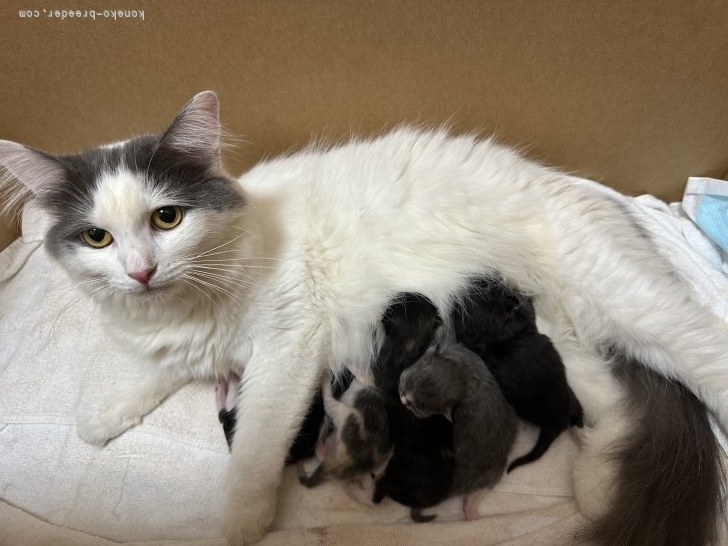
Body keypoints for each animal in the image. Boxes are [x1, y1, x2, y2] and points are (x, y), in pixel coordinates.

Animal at [398, 344, 516, 520]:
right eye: (408, 385)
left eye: (418, 407)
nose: (404, 401)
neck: (466, 378)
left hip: (494, 467)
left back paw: (470, 509)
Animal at [452, 278, 584, 470]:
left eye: (483, 286)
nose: (478, 279)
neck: (495, 337)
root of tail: (555, 425)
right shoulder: (525, 318)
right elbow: (528, 309)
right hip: (571, 396)